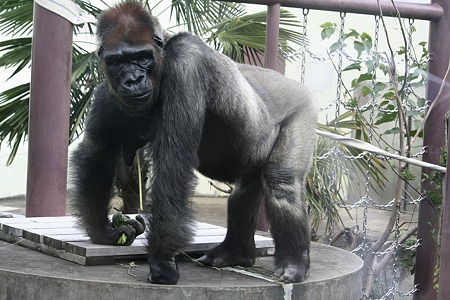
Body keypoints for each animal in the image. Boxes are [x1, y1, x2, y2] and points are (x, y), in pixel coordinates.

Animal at [70, 0, 316, 286]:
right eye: (117, 61)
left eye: (141, 57)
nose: (133, 80)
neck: (164, 51)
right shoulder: (106, 94)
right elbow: (97, 158)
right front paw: (105, 233)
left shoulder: (186, 64)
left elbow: (173, 166)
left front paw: (161, 262)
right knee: (244, 190)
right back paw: (235, 253)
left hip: (301, 106)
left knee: (282, 182)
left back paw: (294, 263)